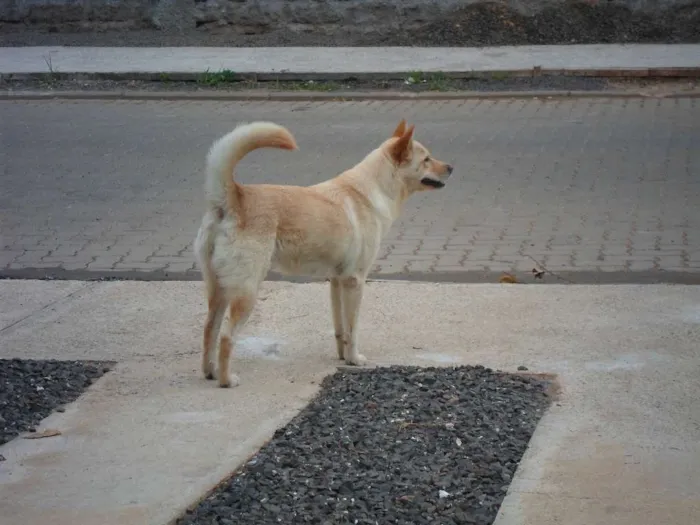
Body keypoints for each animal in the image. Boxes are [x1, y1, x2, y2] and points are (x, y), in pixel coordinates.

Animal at [193, 121, 454, 386]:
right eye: (426, 159)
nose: (451, 168)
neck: (372, 191)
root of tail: (233, 196)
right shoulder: (355, 282)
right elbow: (353, 329)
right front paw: (355, 359)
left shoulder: (337, 281)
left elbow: (341, 329)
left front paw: (343, 357)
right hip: (246, 293)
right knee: (226, 337)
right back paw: (226, 380)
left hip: (219, 291)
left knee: (209, 329)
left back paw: (210, 372)